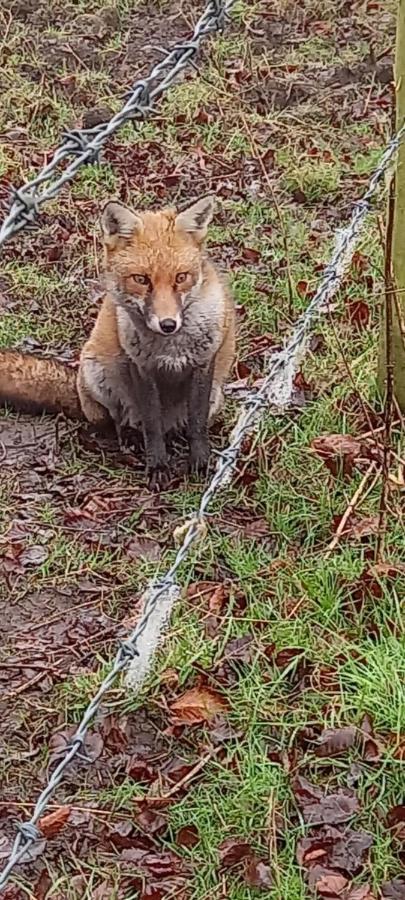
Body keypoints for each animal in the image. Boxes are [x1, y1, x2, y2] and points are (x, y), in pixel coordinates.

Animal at [0, 197, 235, 488]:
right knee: (117, 421)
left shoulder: (203, 363)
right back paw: (128, 439)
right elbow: (152, 424)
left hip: (216, 395)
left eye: (181, 277)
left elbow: (197, 423)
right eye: (141, 279)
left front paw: (200, 462)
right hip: (99, 374)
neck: (170, 348)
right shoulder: (141, 367)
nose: (168, 324)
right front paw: (157, 466)